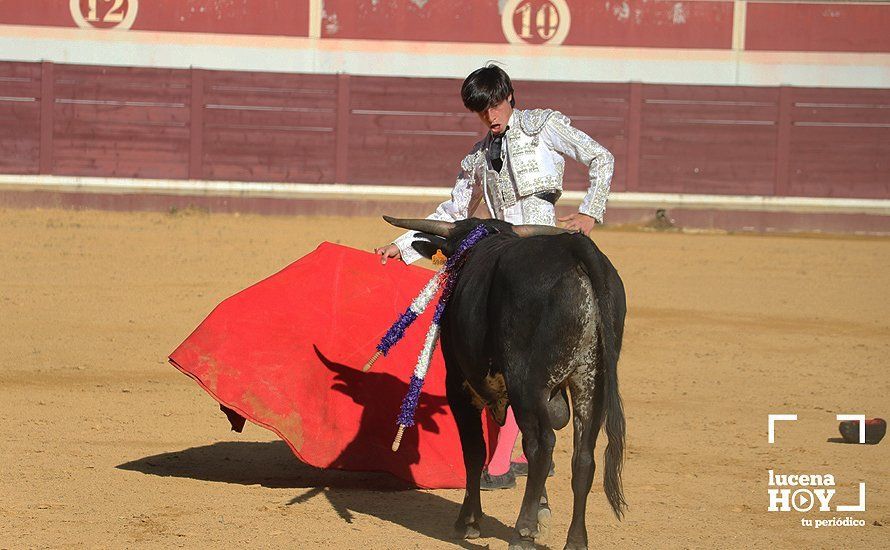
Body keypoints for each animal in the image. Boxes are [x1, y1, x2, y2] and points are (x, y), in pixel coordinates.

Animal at [382, 217, 624, 550]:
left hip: (527, 383)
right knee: (584, 456)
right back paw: (575, 539)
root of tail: (576, 248)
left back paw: (522, 533)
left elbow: (474, 451)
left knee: (541, 445)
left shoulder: (460, 385)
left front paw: (469, 522)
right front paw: (542, 512)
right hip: (591, 381)